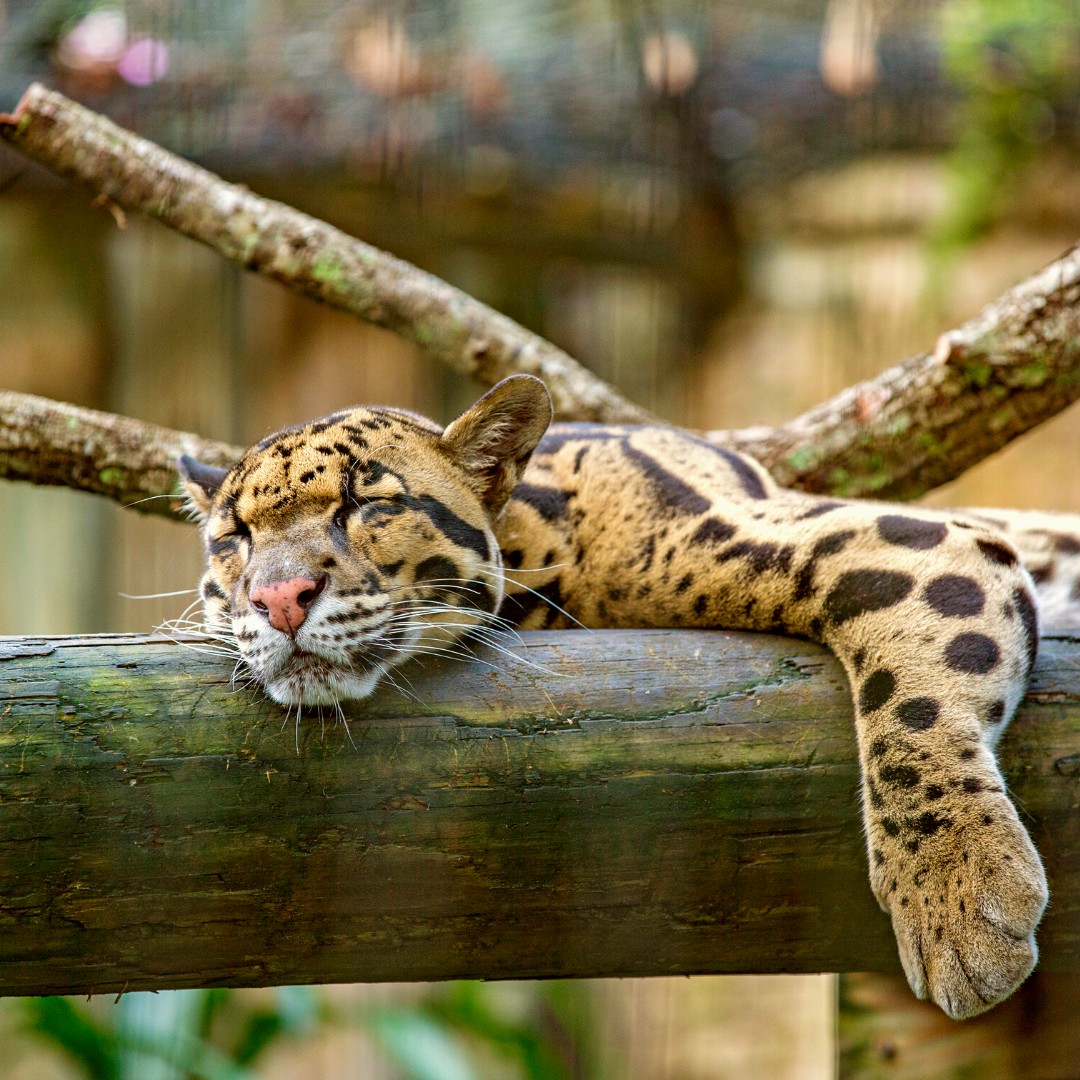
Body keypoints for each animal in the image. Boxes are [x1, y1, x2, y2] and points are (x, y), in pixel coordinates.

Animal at [179, 373, 1071, 1019]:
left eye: (367, 503)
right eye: (234, 539)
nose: (279, 598)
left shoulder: (895, 536)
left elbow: (911, 696)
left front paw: (959, 890)